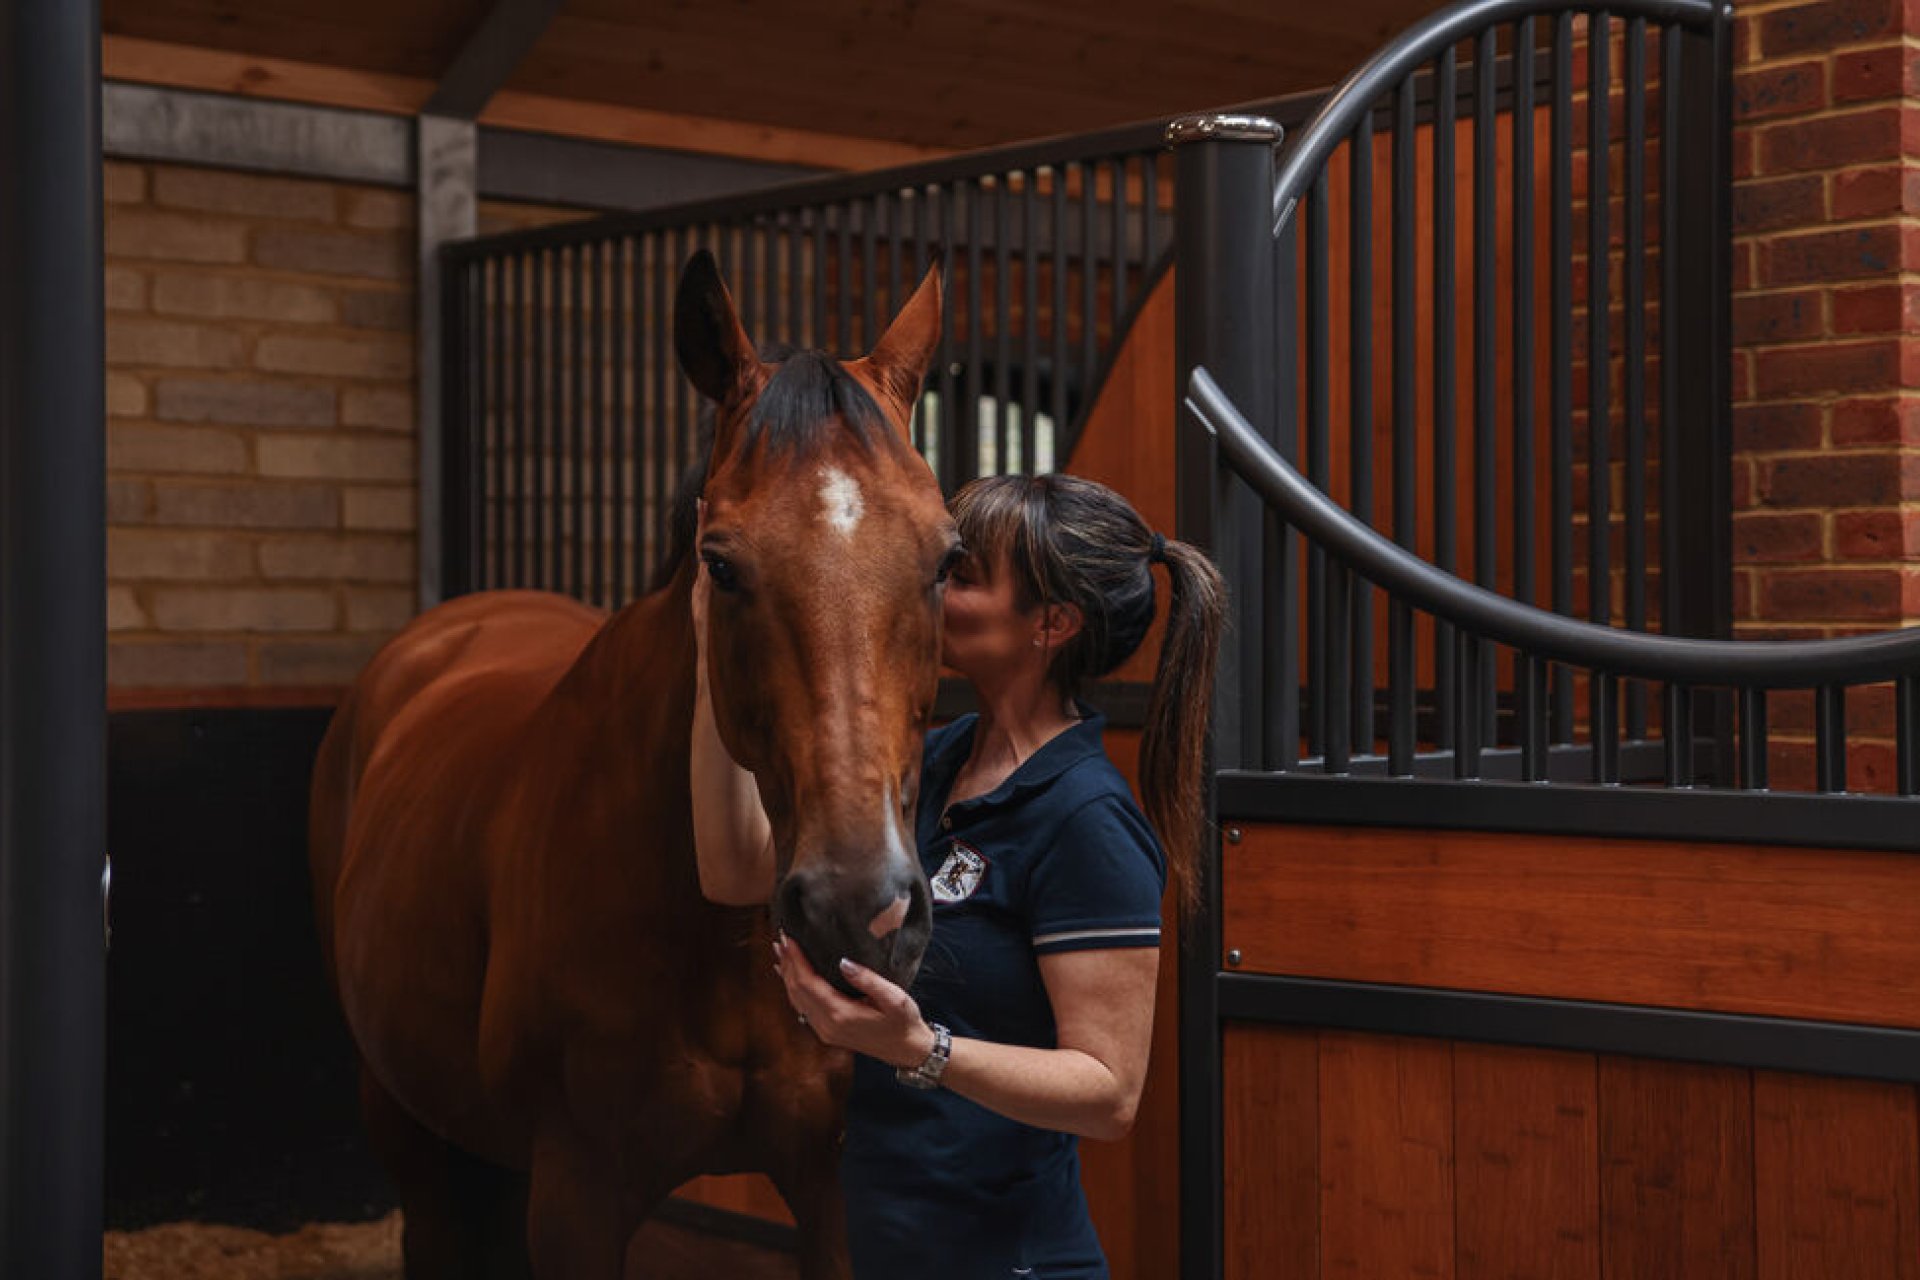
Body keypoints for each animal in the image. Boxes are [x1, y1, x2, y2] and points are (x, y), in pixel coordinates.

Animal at [308, 249, 956, 1279]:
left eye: (945, 560)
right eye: (719, 564)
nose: (860, 910)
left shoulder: (829, 1182)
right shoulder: (579, 1197)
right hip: (398, 1107)